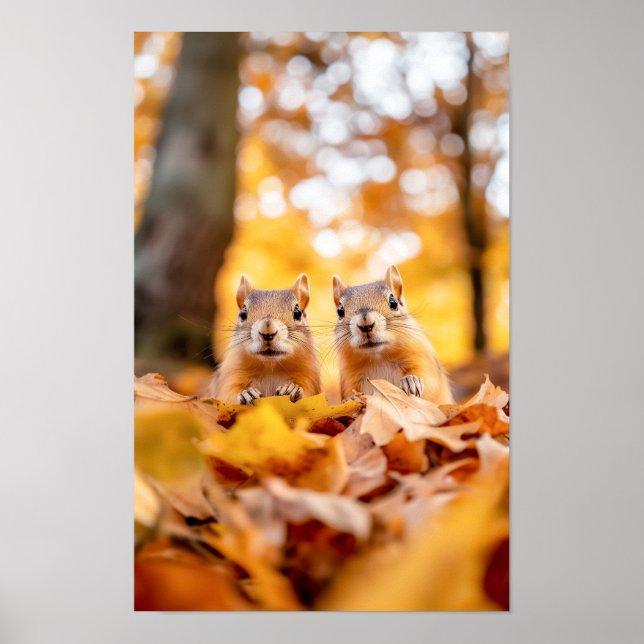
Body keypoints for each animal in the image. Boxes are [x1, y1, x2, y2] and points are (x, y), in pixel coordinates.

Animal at [210, 273, 322, 405]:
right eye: (243, 314)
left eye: (298, 313)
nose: (267, 332)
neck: (270, 368)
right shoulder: (230, 375)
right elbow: (227, 394)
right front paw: (246, 393)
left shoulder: (309, 376)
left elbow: (309, 394)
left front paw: (291, 388)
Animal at [332, 265, 454, 404]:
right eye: (340, 311)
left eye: (393, 302)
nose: (366, 325)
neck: (378, 359)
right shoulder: (349, 377)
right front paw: (350, 399)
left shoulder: (421, 358)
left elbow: (428, 381)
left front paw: (411, 380)